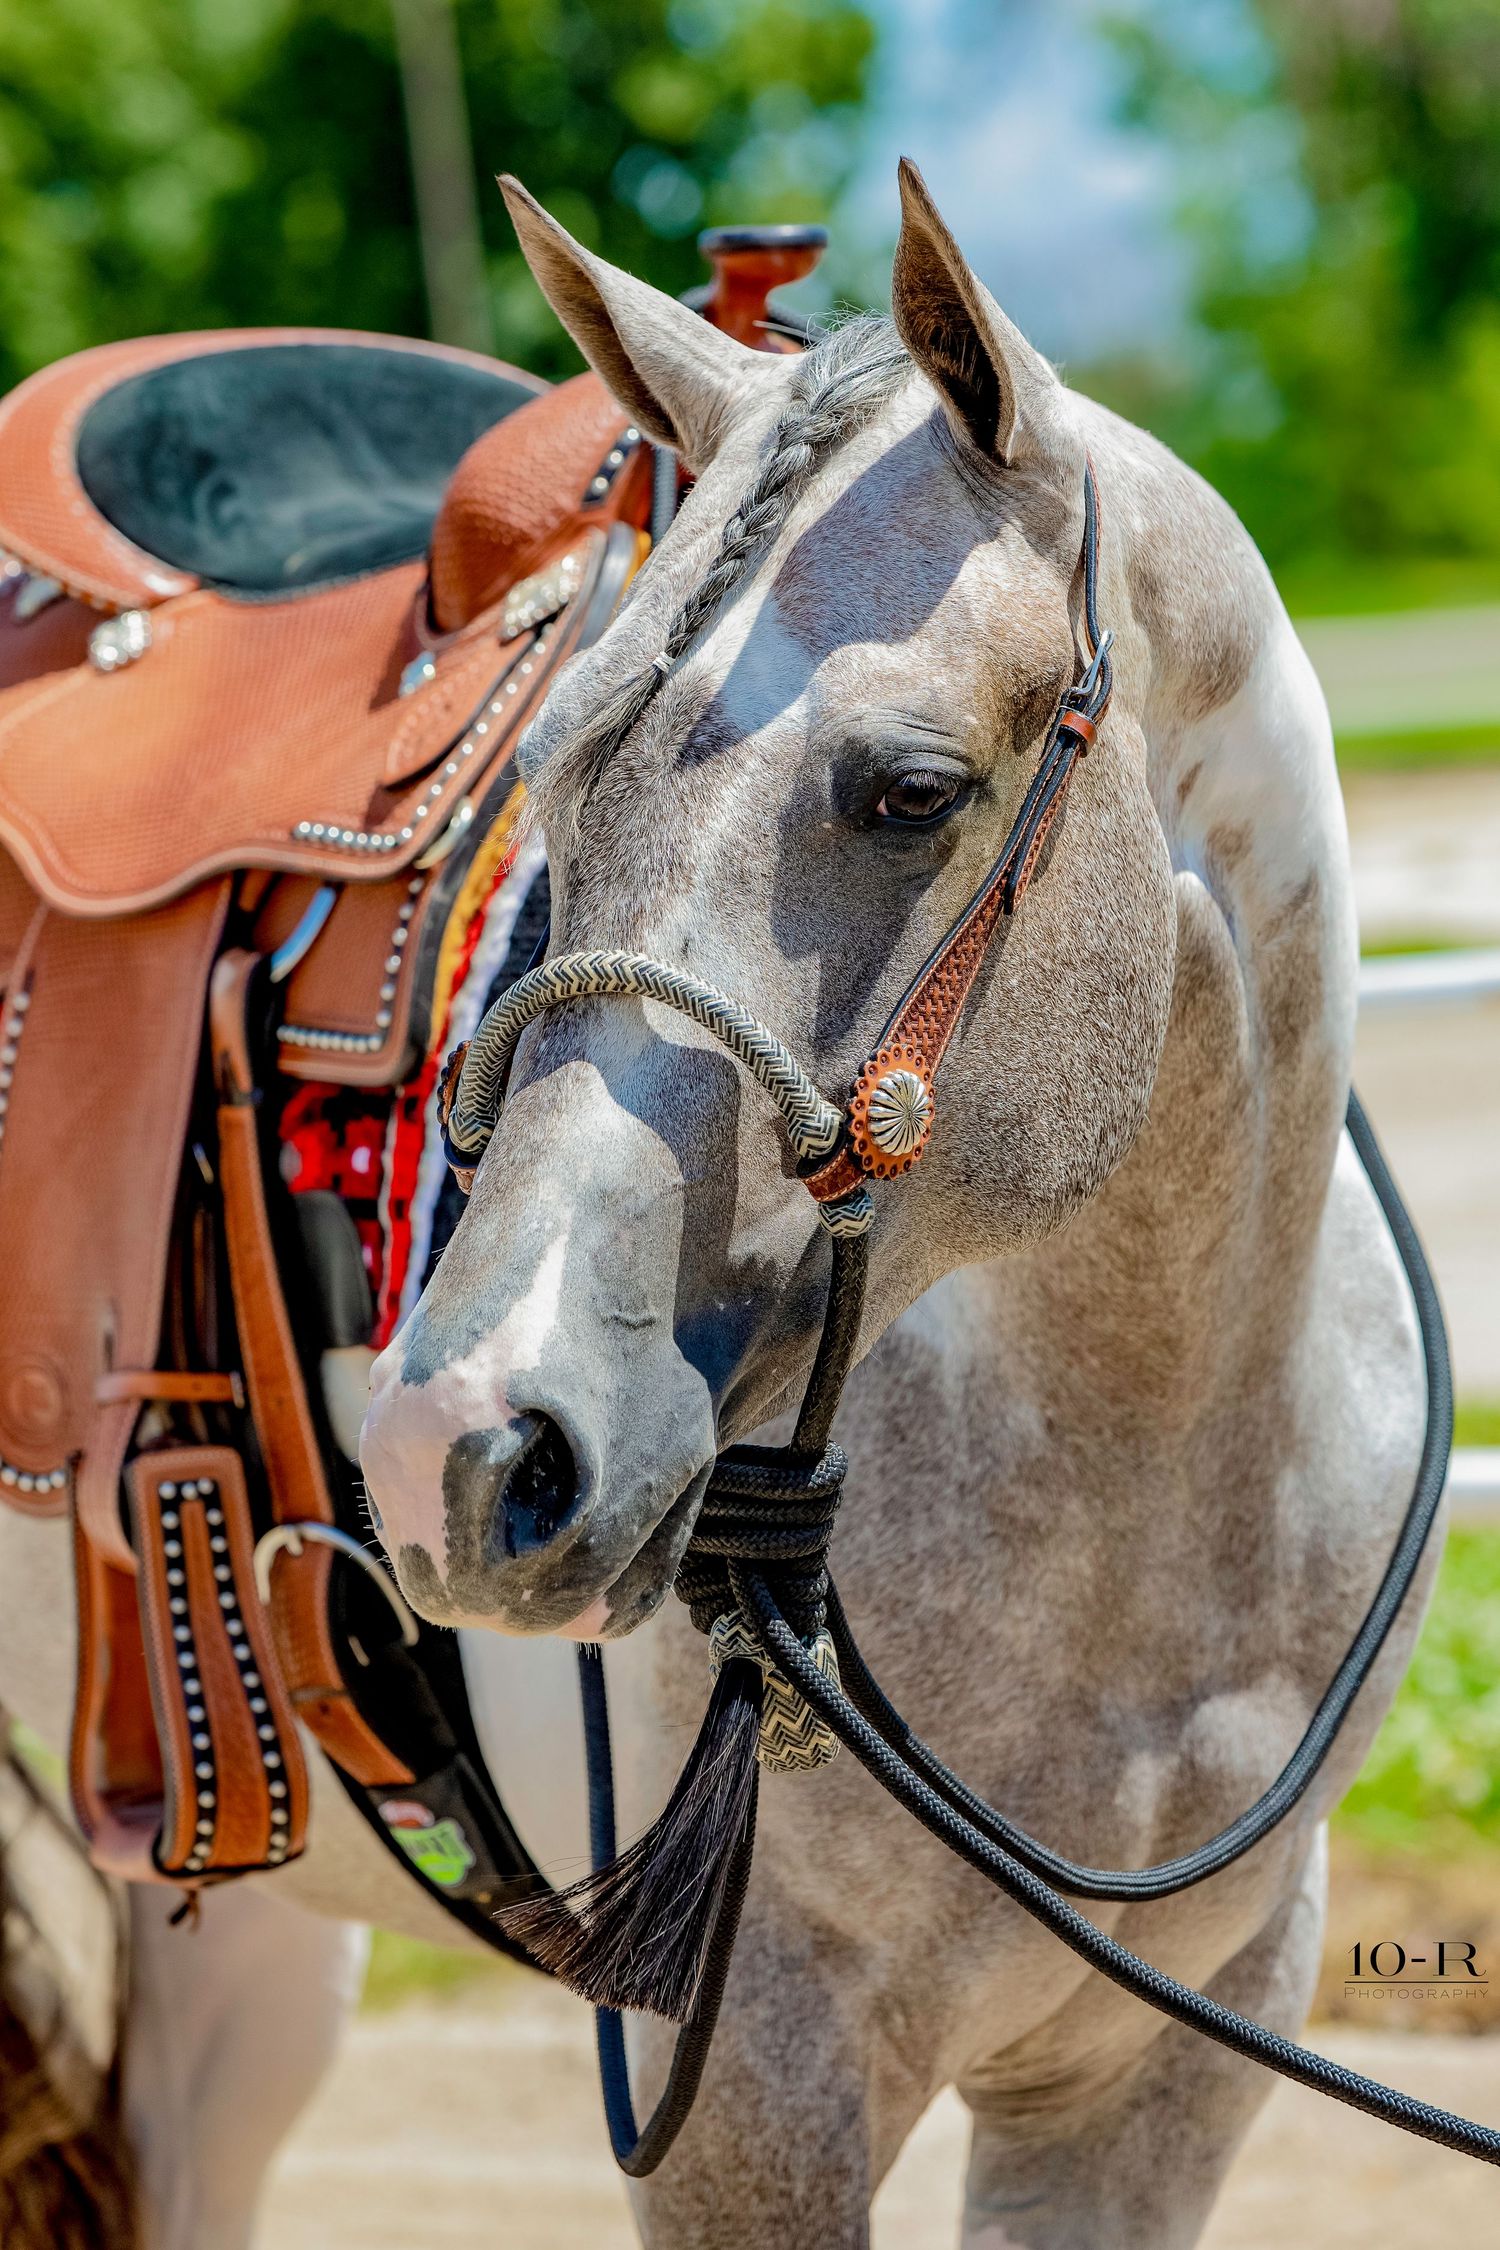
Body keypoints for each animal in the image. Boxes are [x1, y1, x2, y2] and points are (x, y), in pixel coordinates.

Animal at [0, 160, 1431, 2249]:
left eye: (914, 789)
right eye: (558, 771)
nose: (461, 1444)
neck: (1159, 1469)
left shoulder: (1163, 2068)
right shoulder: (754, 2086)